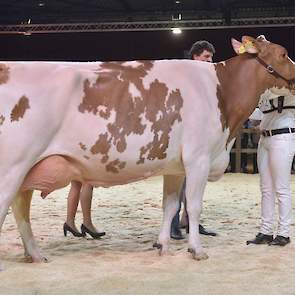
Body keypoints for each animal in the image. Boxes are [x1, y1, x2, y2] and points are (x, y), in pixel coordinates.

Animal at [0, 34, 295, 268]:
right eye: (283, 53)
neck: (222, 92)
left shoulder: (175, 167)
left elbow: (170, 206)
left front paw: (163, 246)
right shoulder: (198, 158)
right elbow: (194, 206)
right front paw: (196, 250)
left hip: (27, 170)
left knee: (20, 209)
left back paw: (35, 255)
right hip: (12, 167)